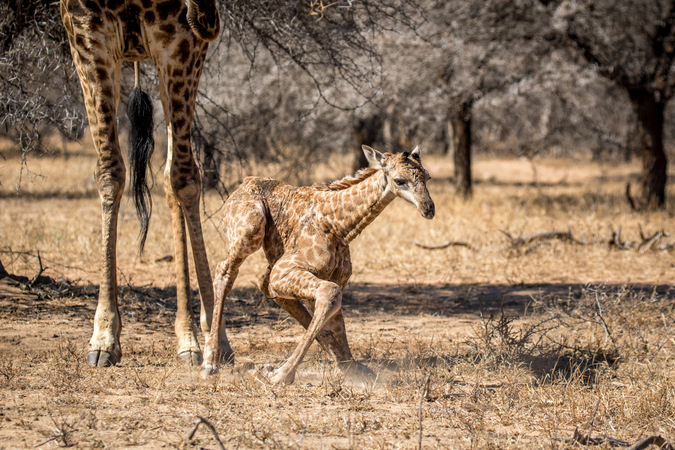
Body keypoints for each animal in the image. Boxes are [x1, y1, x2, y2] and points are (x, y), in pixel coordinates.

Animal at [61, 0, 235, 368]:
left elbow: (183, 177)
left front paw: (211, 340)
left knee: (177, 175)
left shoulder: (180, 44)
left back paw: (197, 339)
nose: (206, 18)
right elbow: (110, 171)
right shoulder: (87, 36)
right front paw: (104, 339)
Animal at [203, 145, 436, 384]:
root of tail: (243, 182)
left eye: (427, 176)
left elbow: (335, 320)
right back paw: (210, 362)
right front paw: (280, 374)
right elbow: (329, 296)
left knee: (263, 285)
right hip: (249, 231)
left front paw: (350, 368)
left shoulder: (335, 278)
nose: (428, 208)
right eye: (399, 180)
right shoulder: (286, 270)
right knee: (225, 272)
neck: (339, 227)